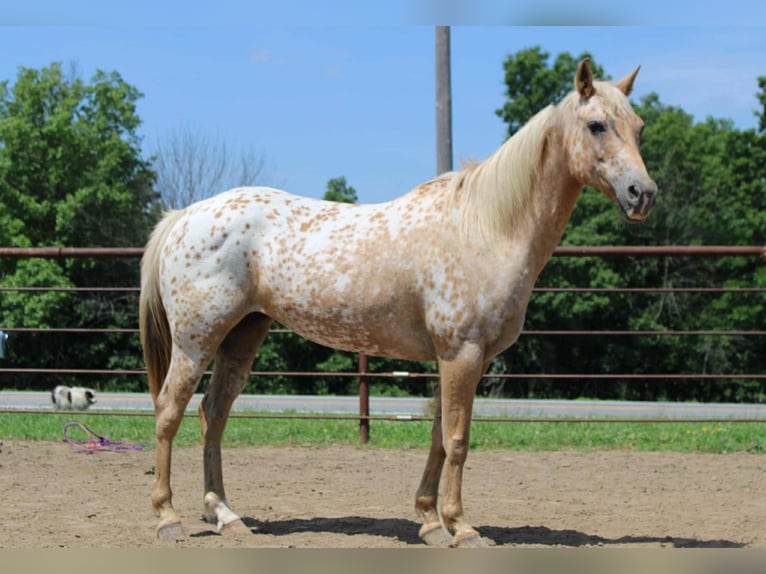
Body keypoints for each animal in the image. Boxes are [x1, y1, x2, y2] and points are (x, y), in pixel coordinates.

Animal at [139, 59, 657, 547]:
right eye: (597, 125)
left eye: (639, 127)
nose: (643, 194)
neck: (484, 228)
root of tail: (185, 215)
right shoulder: (462, 354)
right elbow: (458, 440)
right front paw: (462, 528)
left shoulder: (461, 359)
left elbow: (439, 438)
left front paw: (430, 522)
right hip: (195, 343)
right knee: (168, 413)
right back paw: (167, 517)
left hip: (241, 338)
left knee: (212, 416)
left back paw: (226, 516)